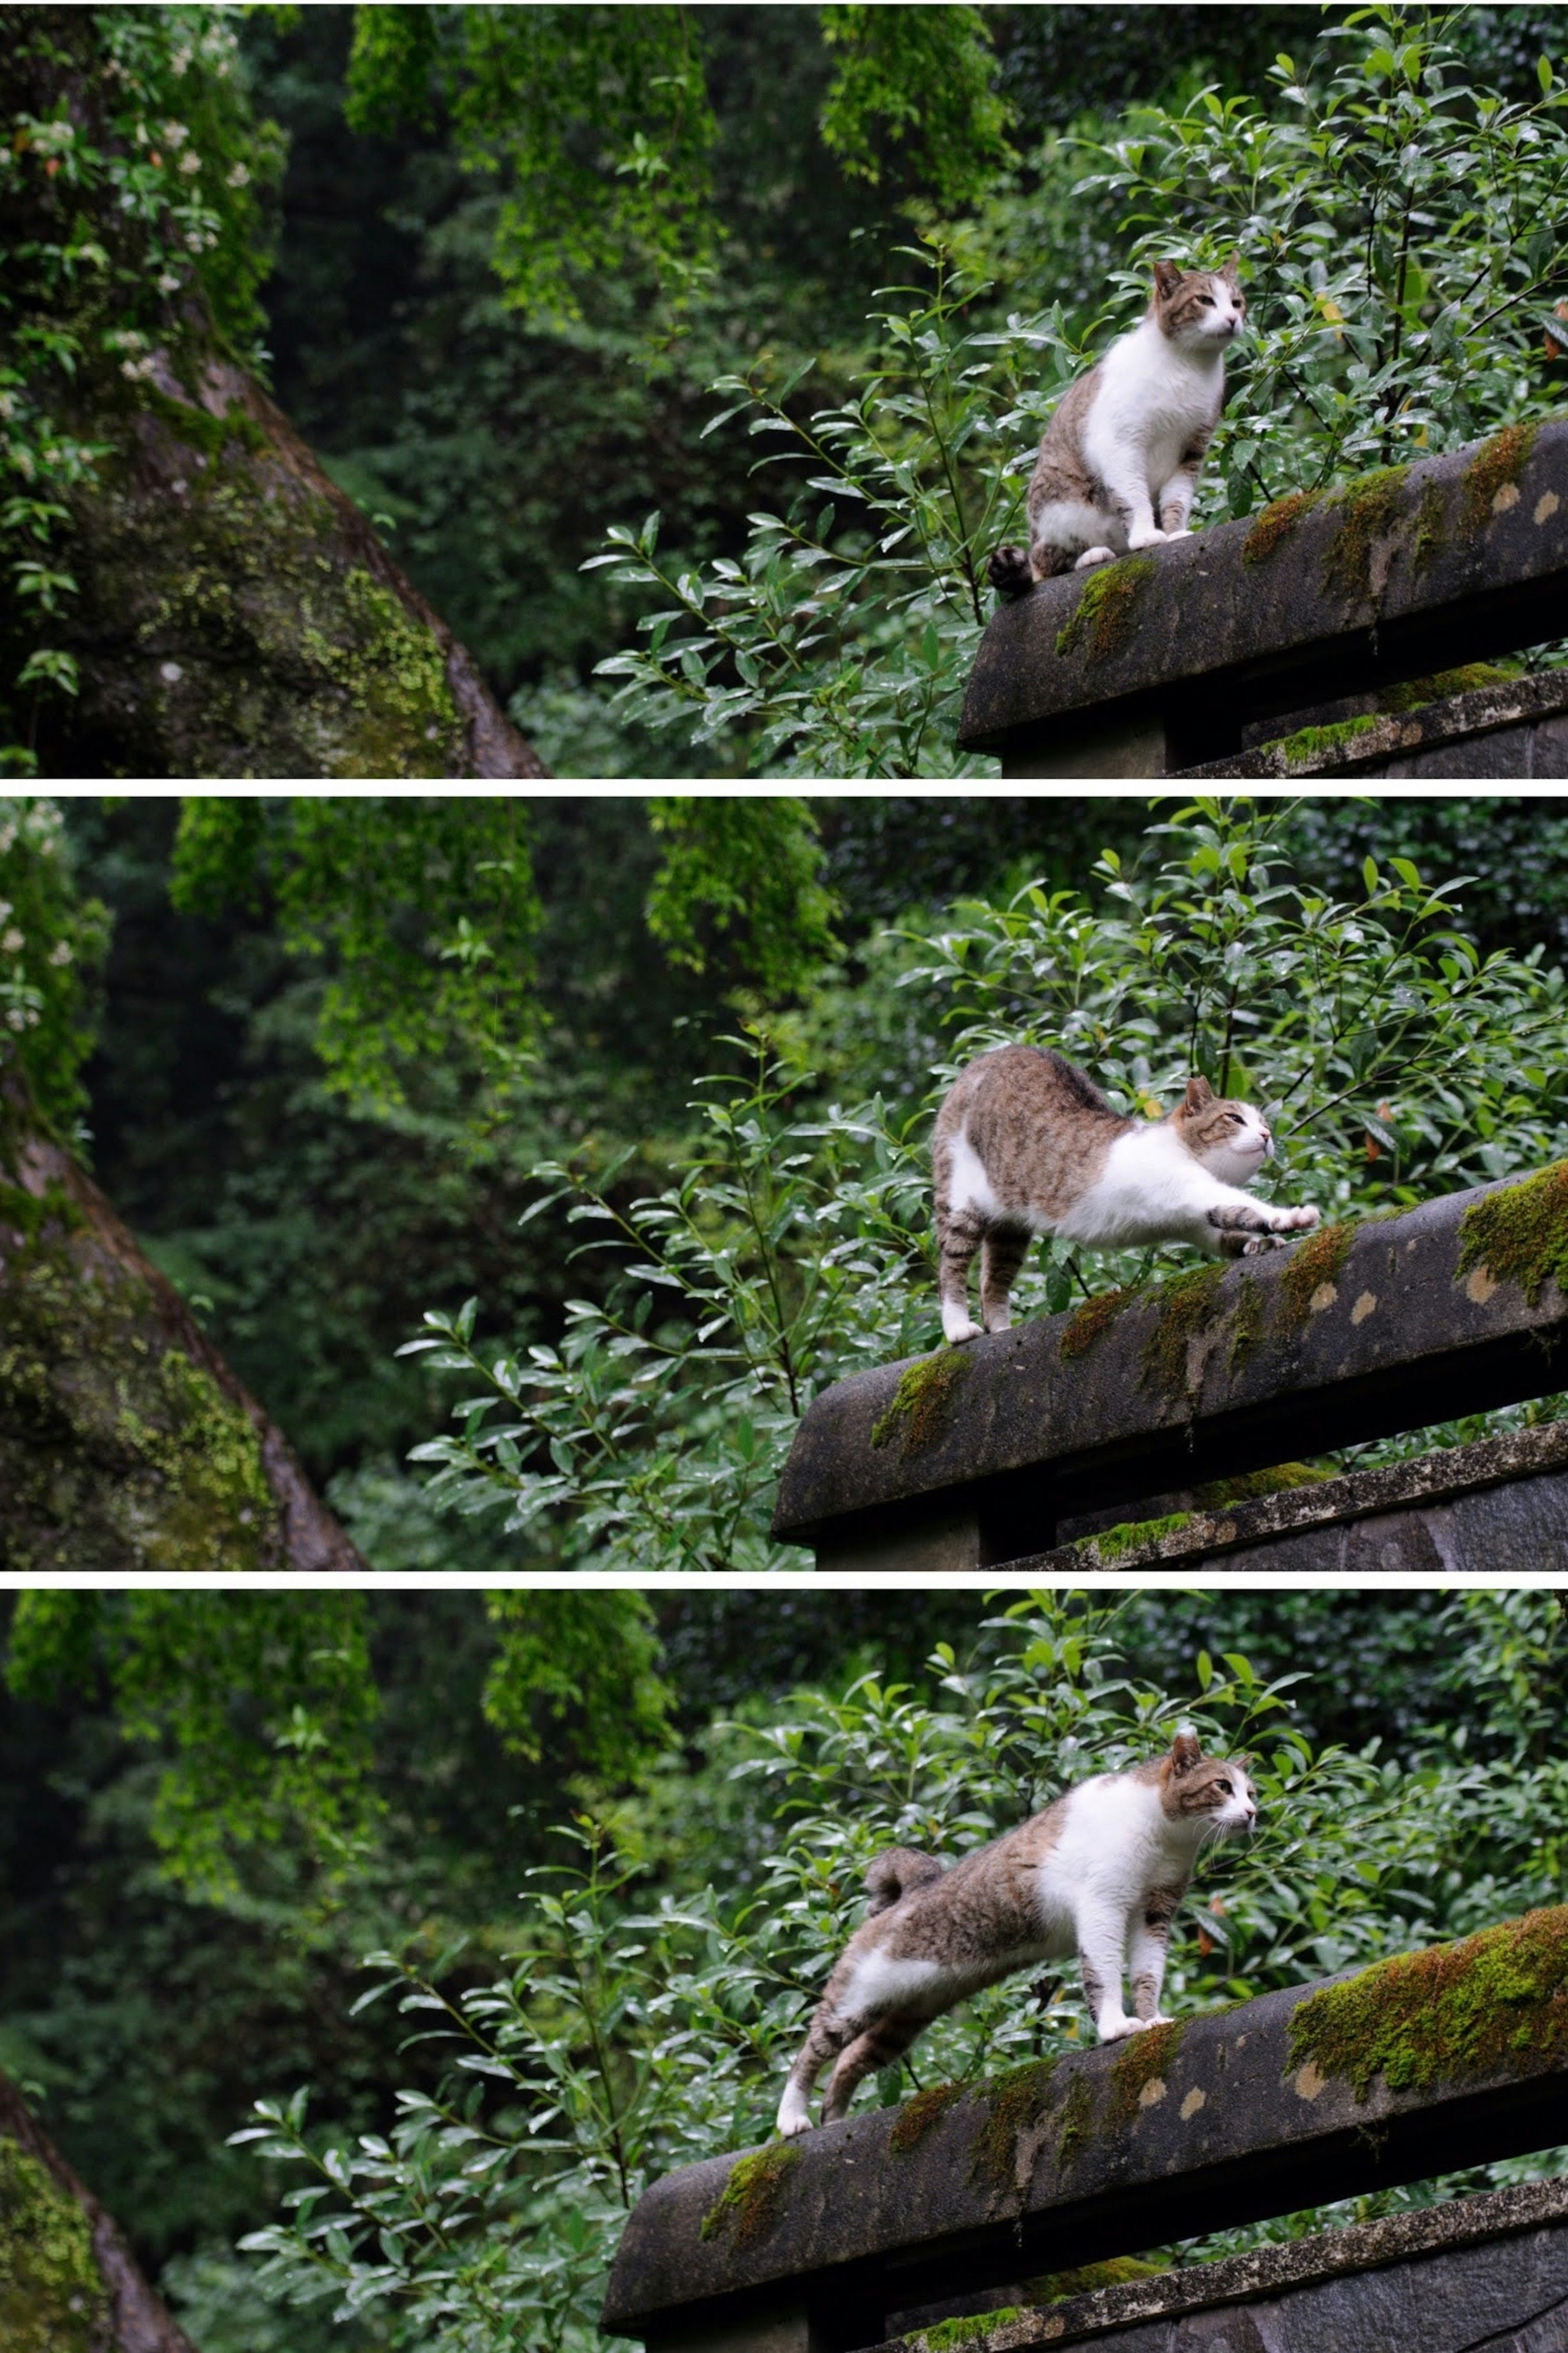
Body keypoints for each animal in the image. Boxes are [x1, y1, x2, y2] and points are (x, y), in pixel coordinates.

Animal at [777, 1722, 1252, 2146]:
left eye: (1251, 1791)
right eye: (1222, 1787)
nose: (1252, 1814)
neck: (1165, 1835)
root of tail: (913, 1889)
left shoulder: (1155, 1912)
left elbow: (1147, 1973)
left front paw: (1154, 2020)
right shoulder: (1103, 1904)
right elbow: (1104, 1973)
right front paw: (1116, 2027)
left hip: (909, 2013)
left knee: (849, 2061)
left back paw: (837, 2121)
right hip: (860, 1996)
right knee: (810, 2052)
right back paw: (792, 2119)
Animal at [927, 1049, 1318, 1346]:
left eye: (1264, 1122)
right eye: (1235, 1119)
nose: (1267, 1135)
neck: (1182, 1146)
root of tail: (985, 1059)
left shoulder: (1192, 1221)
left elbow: (1230, 1224)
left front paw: (1257, 1244)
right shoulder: (1187, 1185)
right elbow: (1243, 1203)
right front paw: (1291, 1217)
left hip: (1012, 1225)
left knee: (992, 1279)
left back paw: (1001, 1329)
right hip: (961, 1200)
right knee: (951, 1268)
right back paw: (958, 1328)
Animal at [989, 250, 1243, 588]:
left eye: (1237, 303)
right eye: (1205, 300)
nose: (1233, 319)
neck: (1189, 366)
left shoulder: (1191, 449)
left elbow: (1177, 499)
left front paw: (1175, 535)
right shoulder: (1120, 443)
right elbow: (1134, 495)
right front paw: (1147, 536)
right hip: (1062, 509)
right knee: (1050, 562)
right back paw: (1091, 556)